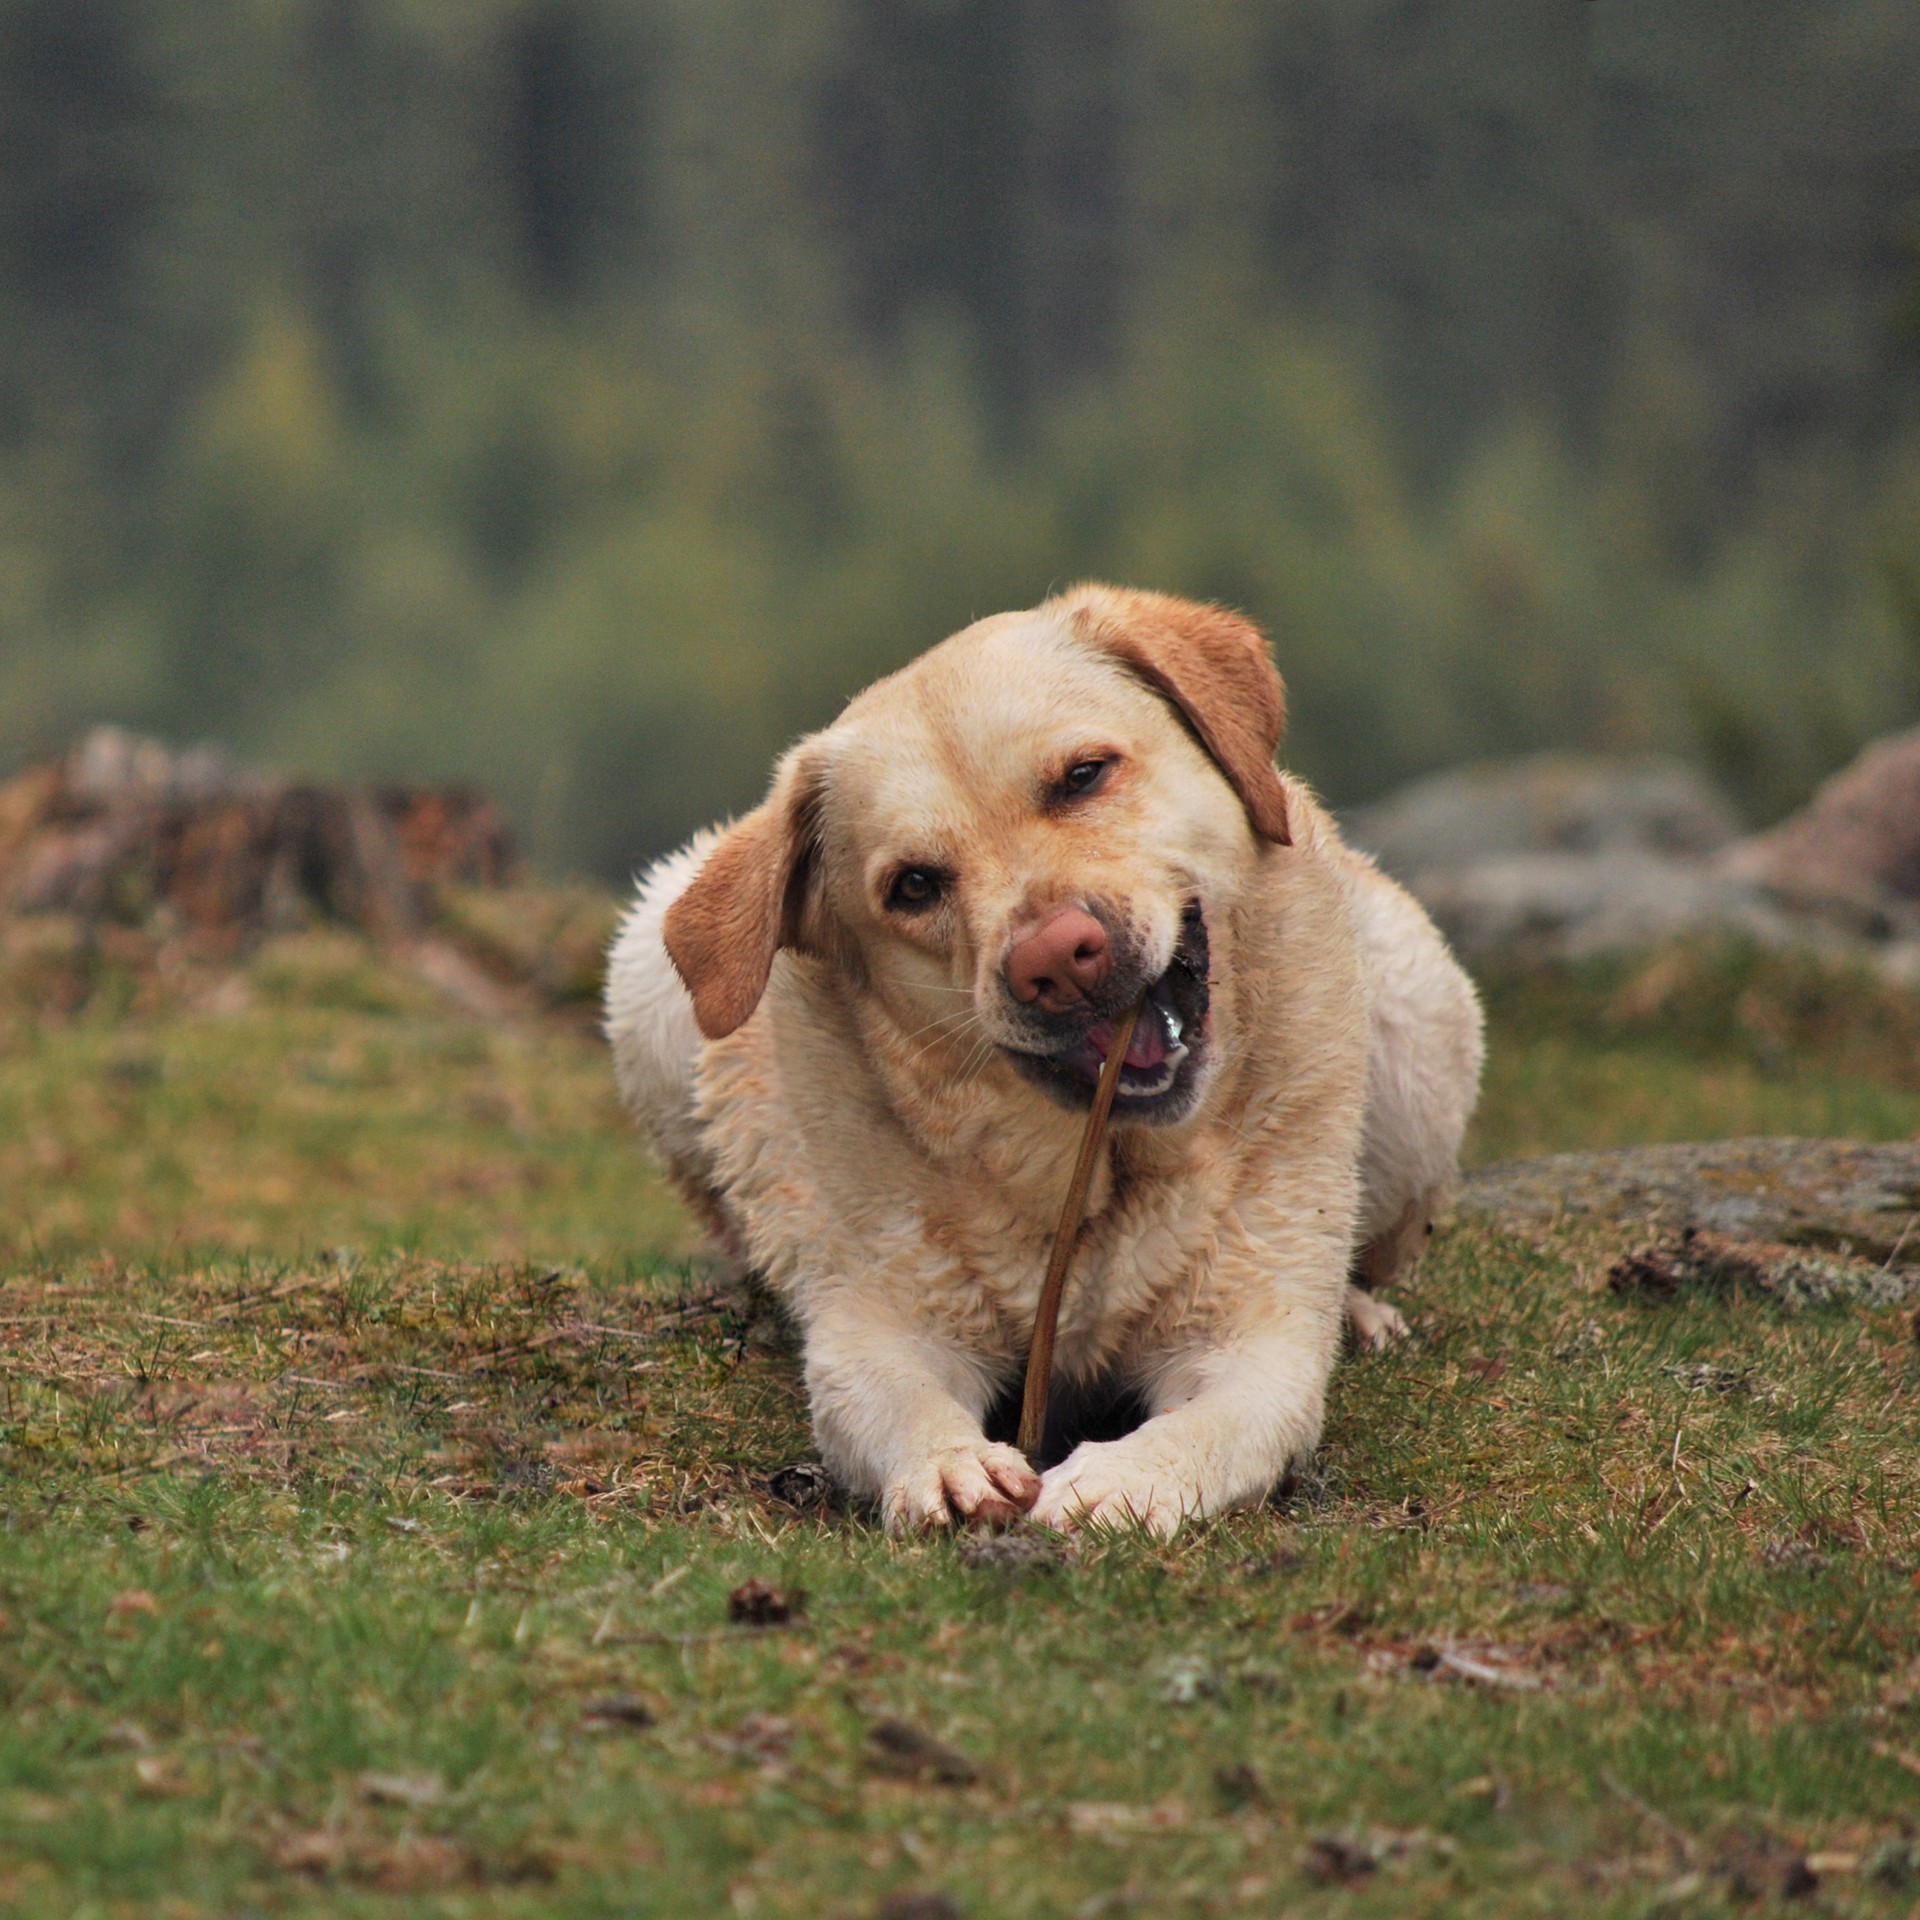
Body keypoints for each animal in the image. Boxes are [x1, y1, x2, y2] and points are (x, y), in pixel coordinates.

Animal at [606, 583, 1474, 1528]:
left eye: (1083, 775)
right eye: (914, 885)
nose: (1056, 960)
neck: (1094, 1183)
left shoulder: (1251, 1345)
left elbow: (1210, 1429)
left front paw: (1123, 1482)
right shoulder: (883, 1328)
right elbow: (898, 1402)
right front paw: (950, 1467)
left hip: (1419, 1031)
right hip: (648, 978)